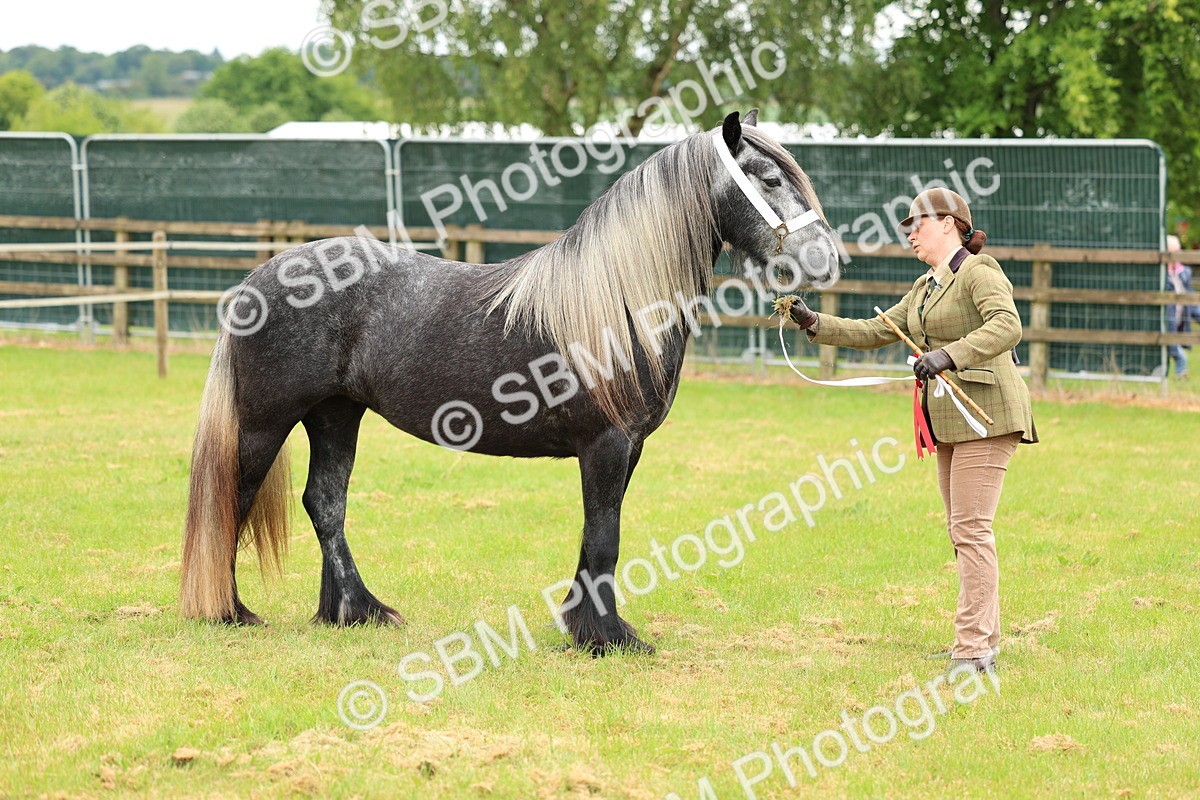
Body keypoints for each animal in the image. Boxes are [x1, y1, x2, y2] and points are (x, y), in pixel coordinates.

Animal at [180, 109, 841, 653]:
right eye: (769, 179)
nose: (828, 260)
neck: (616, 299)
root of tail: (257, 279)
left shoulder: (626, 449)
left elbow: (595, 534)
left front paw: (585, 627)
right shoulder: (606, 445)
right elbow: (606, 537)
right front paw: (609, 640)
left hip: (336, 414)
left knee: (325, 503)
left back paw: (356, 611)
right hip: (266, 421)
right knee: (233, 497)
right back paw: (230, 611)